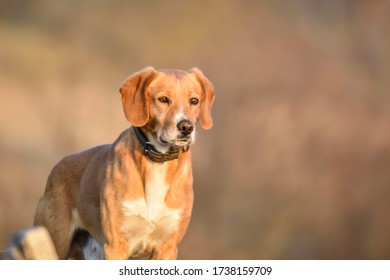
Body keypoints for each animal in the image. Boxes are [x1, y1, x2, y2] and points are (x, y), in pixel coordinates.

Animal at [34, 66, 215, 260]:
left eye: (194, 101)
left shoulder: (167, 247)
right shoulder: (115, 245)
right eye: (163, 99)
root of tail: (58, 165)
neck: (157, 163)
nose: (186, 127)